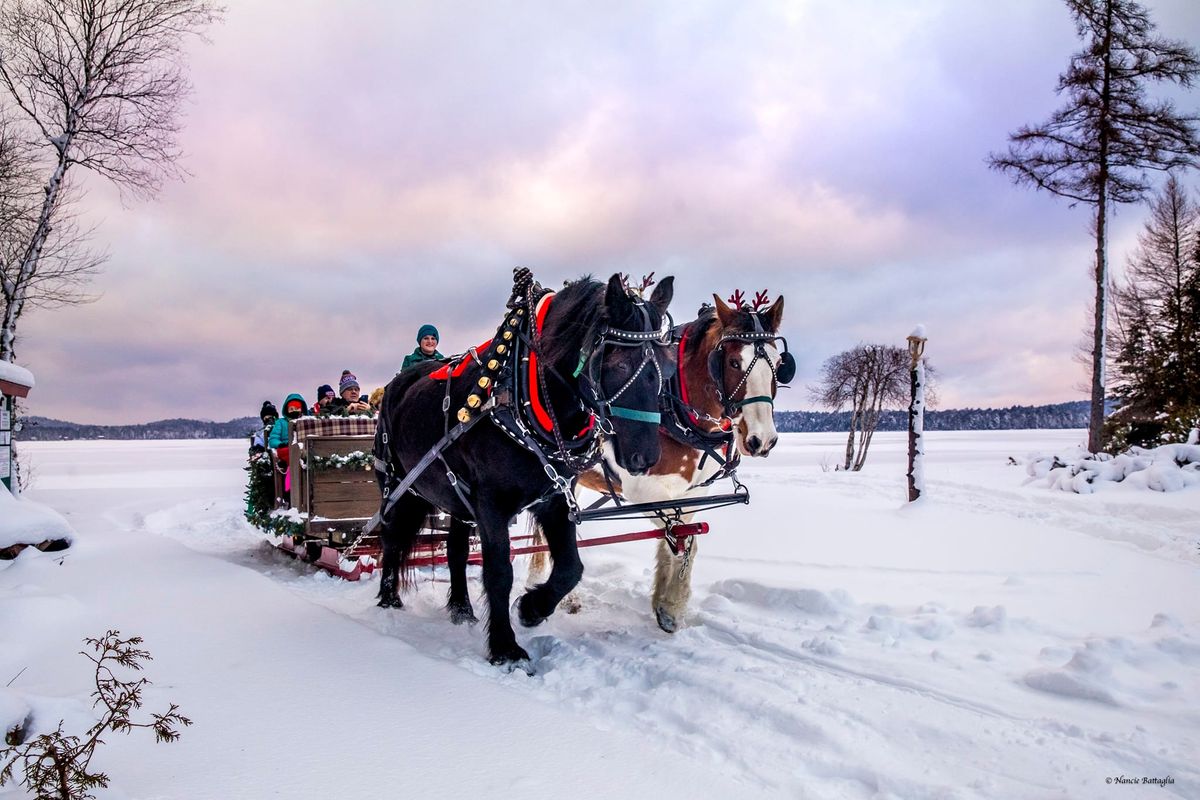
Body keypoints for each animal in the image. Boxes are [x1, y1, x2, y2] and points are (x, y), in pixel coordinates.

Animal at [374, 275, 676, 671]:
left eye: (667, 368)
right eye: (620, 363)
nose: (646, 457)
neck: (519, 393)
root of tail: (395, 384)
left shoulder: (554, 498)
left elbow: (571, 567)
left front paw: (532, 609)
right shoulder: (491, 503)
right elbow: (499, 573)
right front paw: (505, 648)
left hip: (457, 498)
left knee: (455, 548)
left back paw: (461, 608)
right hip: (399, 486)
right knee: (392, 538)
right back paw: (388, 598)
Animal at [530, 293, 792, 633]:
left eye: (780, 364)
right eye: (734, 362)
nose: (763, 440)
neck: (674, 412)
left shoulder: (693, 491)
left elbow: (686, 537)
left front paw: (666, 604)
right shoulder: (642, 491)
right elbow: (678, 532)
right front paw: (670, 604)